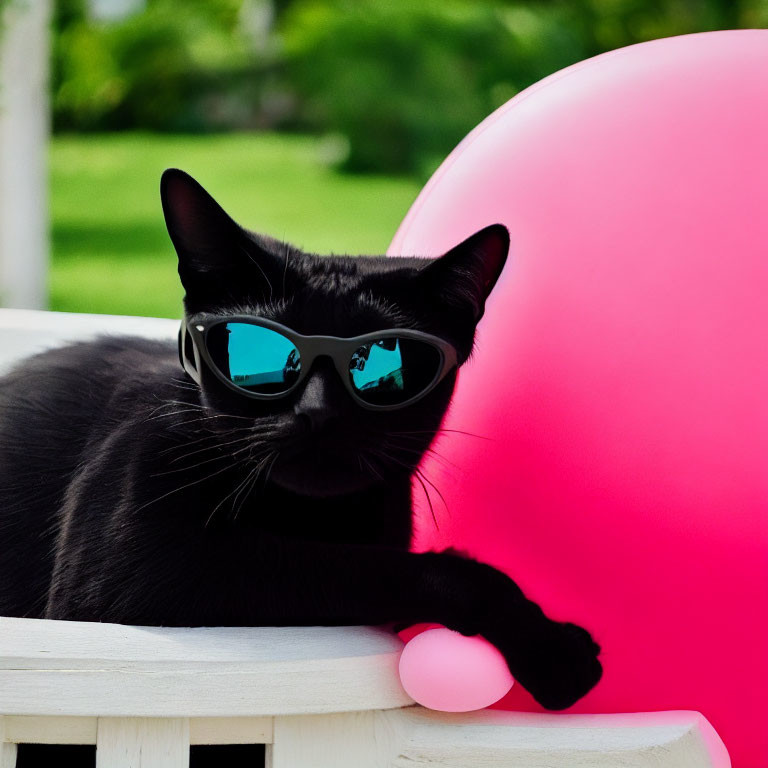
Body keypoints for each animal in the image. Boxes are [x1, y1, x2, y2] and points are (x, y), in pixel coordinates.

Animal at [0, 171, 600, 716]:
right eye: (255, 350)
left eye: (386, 365)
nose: (317, 410)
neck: (314, 517)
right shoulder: (133, 571)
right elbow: (379, 569)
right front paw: (553, 647)